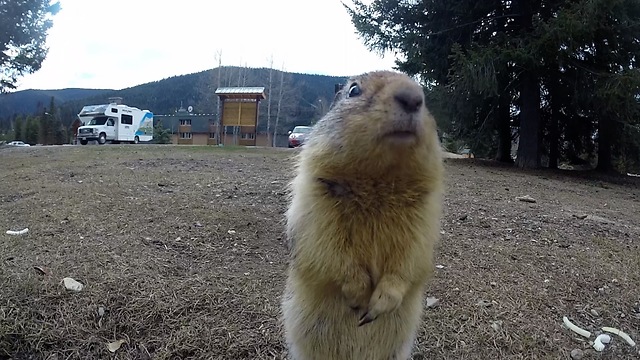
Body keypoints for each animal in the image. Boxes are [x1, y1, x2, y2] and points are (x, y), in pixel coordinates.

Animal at [282, 70, 442, 360]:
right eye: (353, 90)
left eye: (424, 94)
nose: (412, 97)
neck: (379, 181)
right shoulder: (315, 204)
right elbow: (327, 249)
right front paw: (358, 295)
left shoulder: (423, 216)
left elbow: (410, 259)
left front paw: (380, 302)